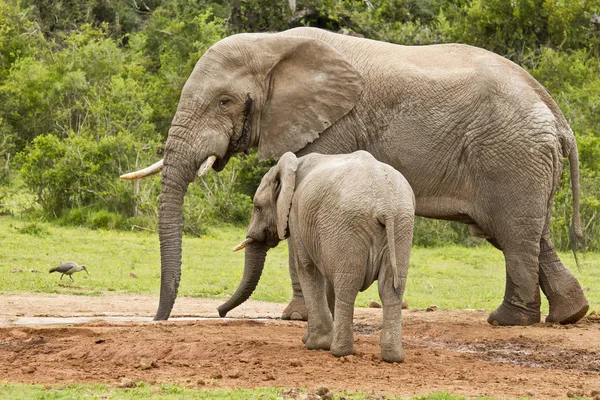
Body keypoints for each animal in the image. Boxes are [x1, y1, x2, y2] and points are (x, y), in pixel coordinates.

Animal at [120, 25, 584, 324]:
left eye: (224, 101)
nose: (160, 320)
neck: (274, 44)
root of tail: (557, 113)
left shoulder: (334, 127)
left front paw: (294, 318)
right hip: (523, 161)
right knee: (526, 235)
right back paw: (569, 315)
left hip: (510, 155)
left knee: (513, 235)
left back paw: (507, 321)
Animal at [218, 150, 414, 362]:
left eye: (257, 207)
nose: (220, 312)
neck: (292, 165)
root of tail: (385, 204)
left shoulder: (296, 216)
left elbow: (307, 268)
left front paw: (315, 344)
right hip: (402, 225)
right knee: (391, 289)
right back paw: (393, 357)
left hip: (348, 225)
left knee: (347, 285)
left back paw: (340, 351)